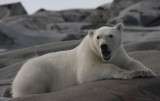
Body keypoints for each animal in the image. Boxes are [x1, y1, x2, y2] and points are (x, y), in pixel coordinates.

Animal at [12, 23, 156, 97]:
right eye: (98, 37)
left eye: (110, 35)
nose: (103, 46)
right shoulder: (88, 53)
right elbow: (87, 72)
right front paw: (127, 73)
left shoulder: (119, 53)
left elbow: (131, 61)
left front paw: (146, 71)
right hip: (38, 69)